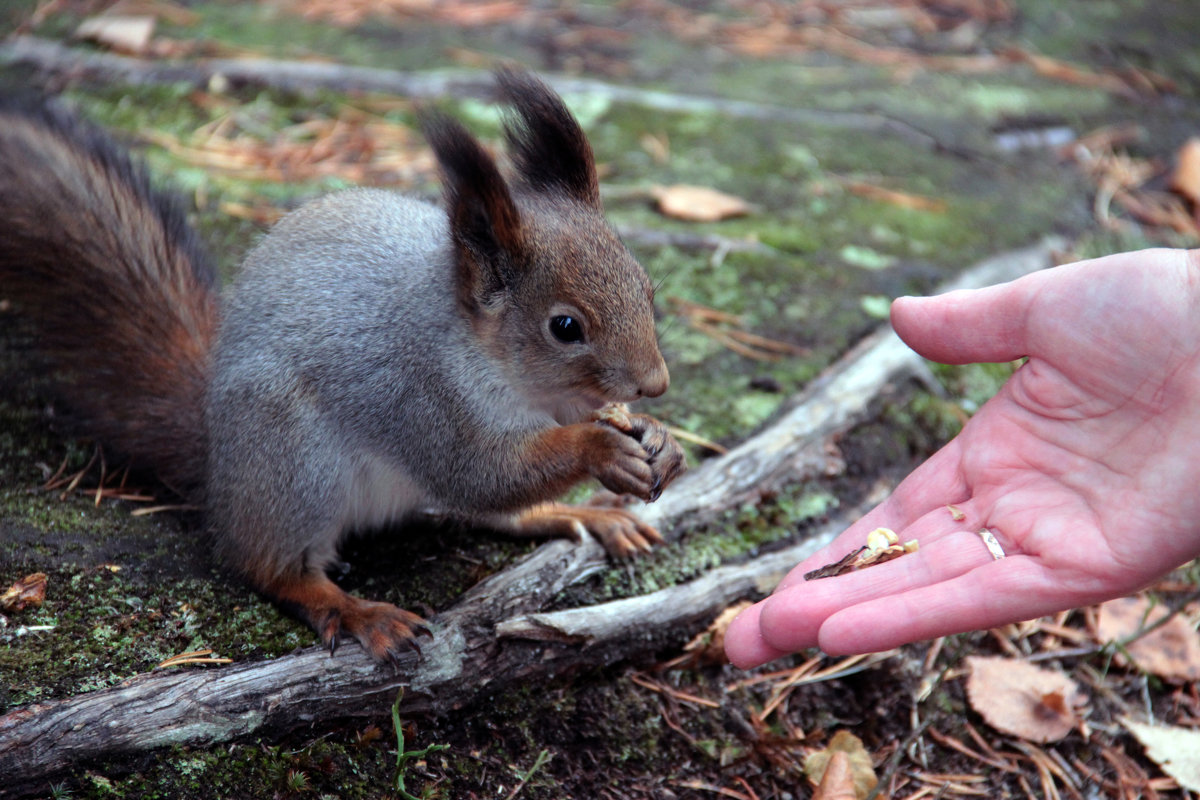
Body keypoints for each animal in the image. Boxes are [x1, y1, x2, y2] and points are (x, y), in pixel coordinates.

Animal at [0, 68, 691, 662]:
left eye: (646, 288)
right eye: (565, 327)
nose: (656, 384)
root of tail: (217, 454)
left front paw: (656, 438)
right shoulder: (420, 395)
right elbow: (478, 472)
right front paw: (601, 448)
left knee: (495, 512)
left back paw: (580, 514)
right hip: (293, 460)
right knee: (269, 567)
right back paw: (357, 611)